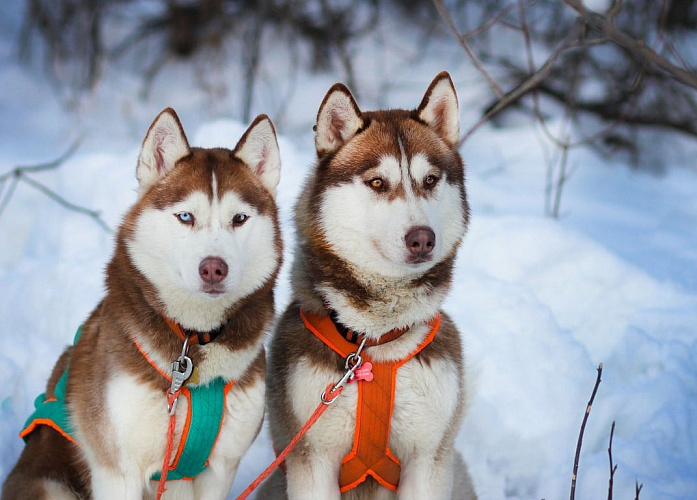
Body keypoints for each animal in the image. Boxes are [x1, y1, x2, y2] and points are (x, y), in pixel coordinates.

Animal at [3, 109, 280, 500]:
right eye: (185, 216)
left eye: (239, 219)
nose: (214, 268)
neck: (192, 341)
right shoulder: (118, 470)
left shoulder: (221, 468)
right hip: (49, 484)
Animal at [258, 72, 476, 498]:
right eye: (377, 182)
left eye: (430, 180)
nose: (422, 238)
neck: (375, 341)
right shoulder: (311, 457)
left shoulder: (429, 458)